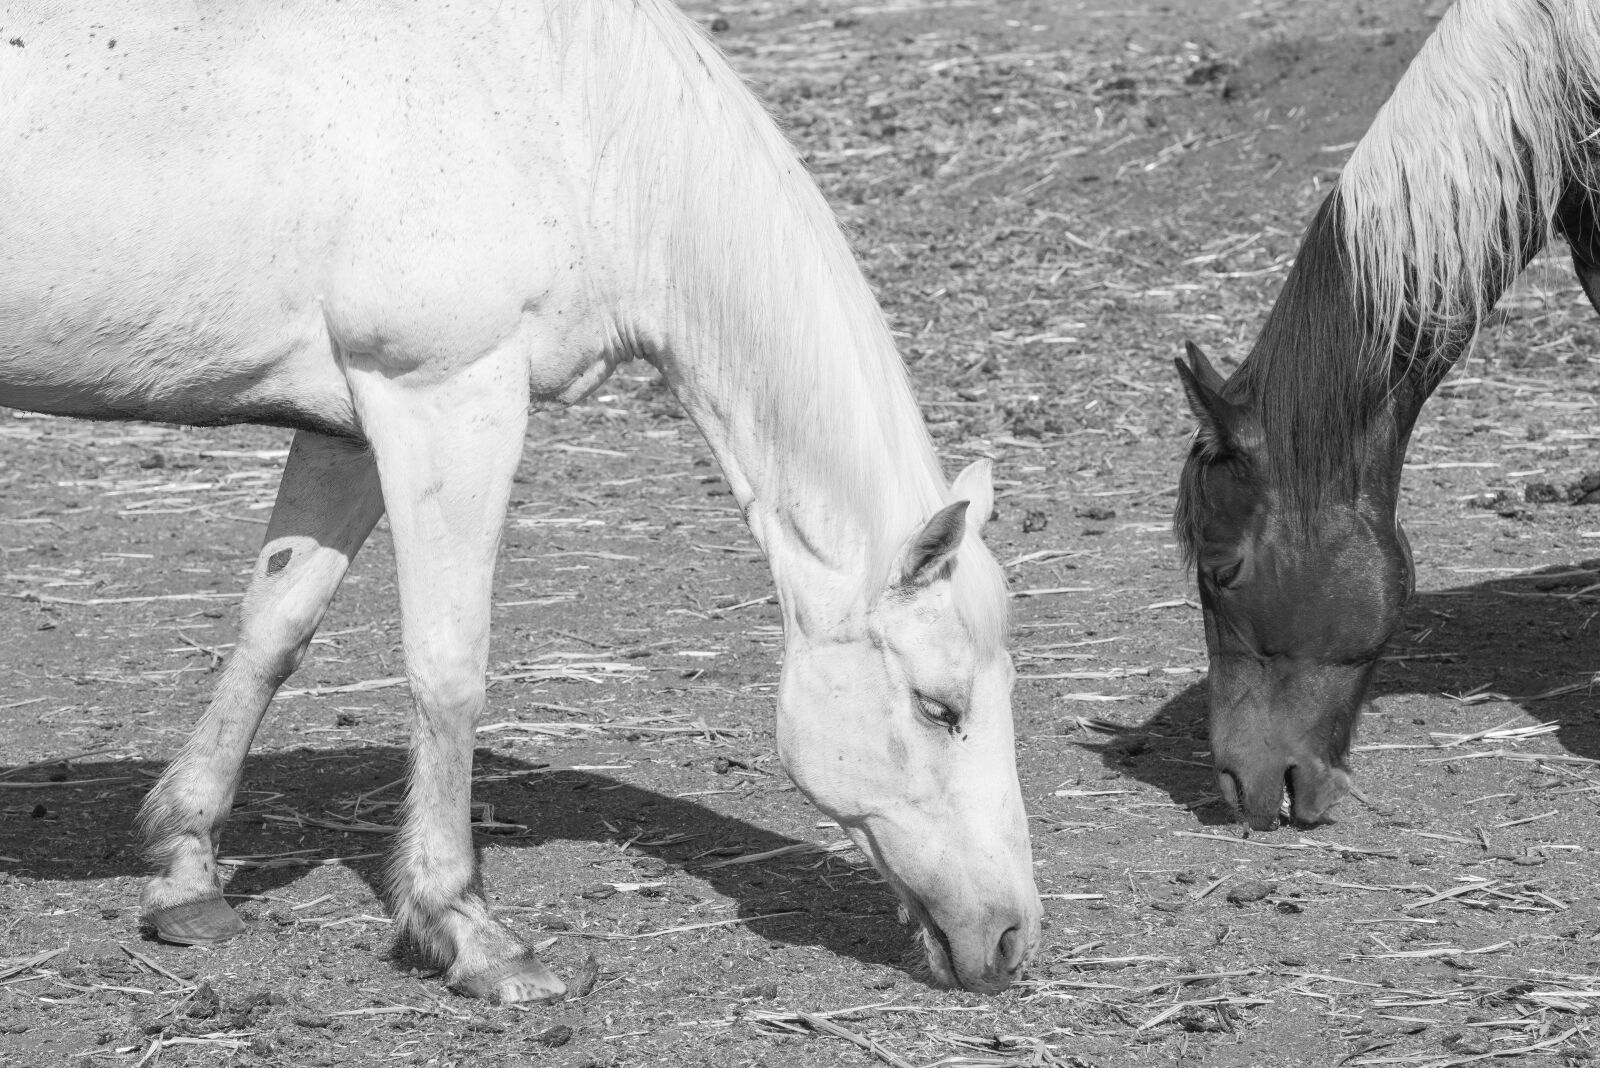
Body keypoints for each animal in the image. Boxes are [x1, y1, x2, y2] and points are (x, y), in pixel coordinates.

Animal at [0, 0, 1041, 1000]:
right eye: (939, 707)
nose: (1009, 936)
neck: (577, 113)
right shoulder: (448, 396)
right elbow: (449, 668)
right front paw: (466, 932)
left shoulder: (350, 425)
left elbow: (275, 630)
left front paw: (187, 877)